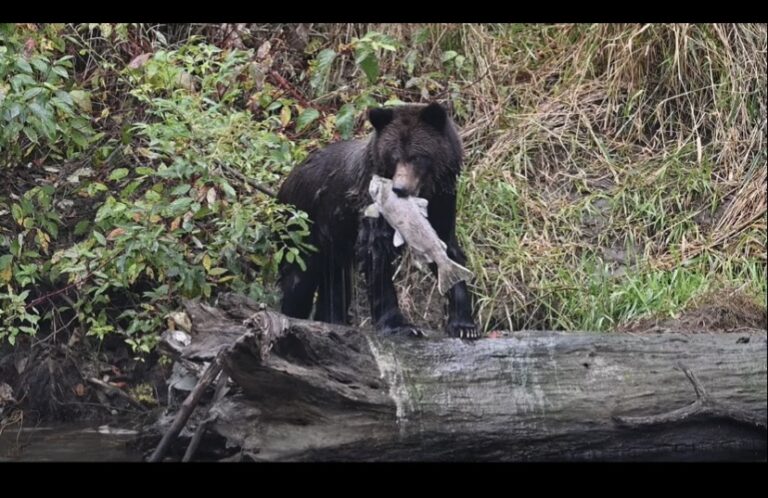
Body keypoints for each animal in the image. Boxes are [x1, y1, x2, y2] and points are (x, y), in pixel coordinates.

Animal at [276, 102, 478, 339]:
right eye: (394, 156)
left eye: (417, 156)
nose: (399, 189)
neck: (425, 191)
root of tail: (287, 179)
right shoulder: (370, 204)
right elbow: (376, 250)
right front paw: (401, 325)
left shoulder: (443, 200)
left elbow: (447, 245)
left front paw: (464, 326)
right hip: (302, 228)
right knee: (299, 280)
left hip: (335, 240)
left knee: (336, 282)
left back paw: (333, 320)